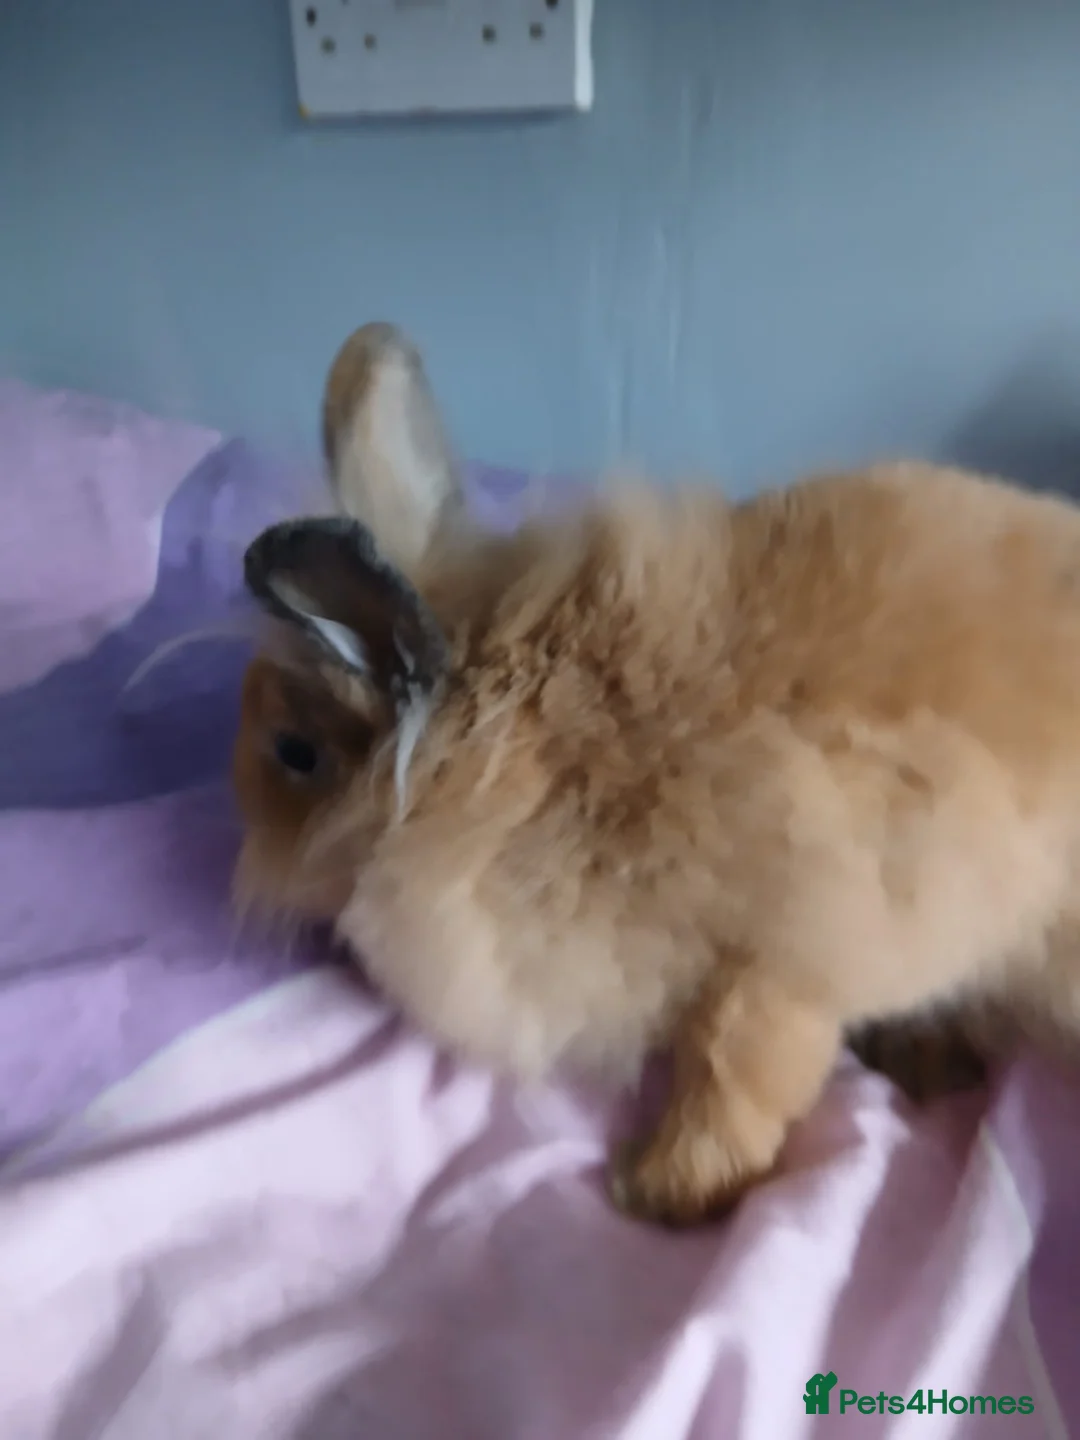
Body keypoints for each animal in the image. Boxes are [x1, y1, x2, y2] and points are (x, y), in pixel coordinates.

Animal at [233, 321, 1080, 1228]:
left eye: (294, 753)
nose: (242, 865)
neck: (526, 761)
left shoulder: (778, 967)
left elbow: (733, 1079)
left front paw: (657, 1191)